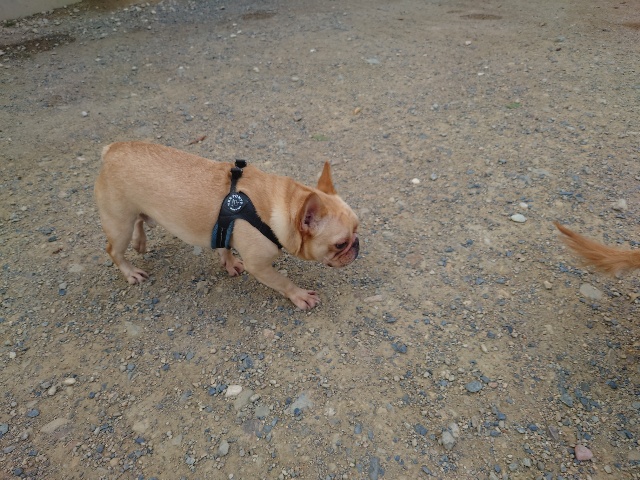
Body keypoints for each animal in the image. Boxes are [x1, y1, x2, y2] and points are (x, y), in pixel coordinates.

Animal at [94, 141, 359, 310]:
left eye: (358, 228)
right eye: (340, 244)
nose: (357, 245)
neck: (283, 205)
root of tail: (111, 150)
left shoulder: (224, 226)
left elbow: (224, 245)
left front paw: (229, 262)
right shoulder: (259, 266)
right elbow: (283, 282)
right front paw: (300, 295)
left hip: (134, 212)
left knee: (140, 219)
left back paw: (140, 242)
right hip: (119, 224)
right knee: (114, 251)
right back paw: (131, 272)